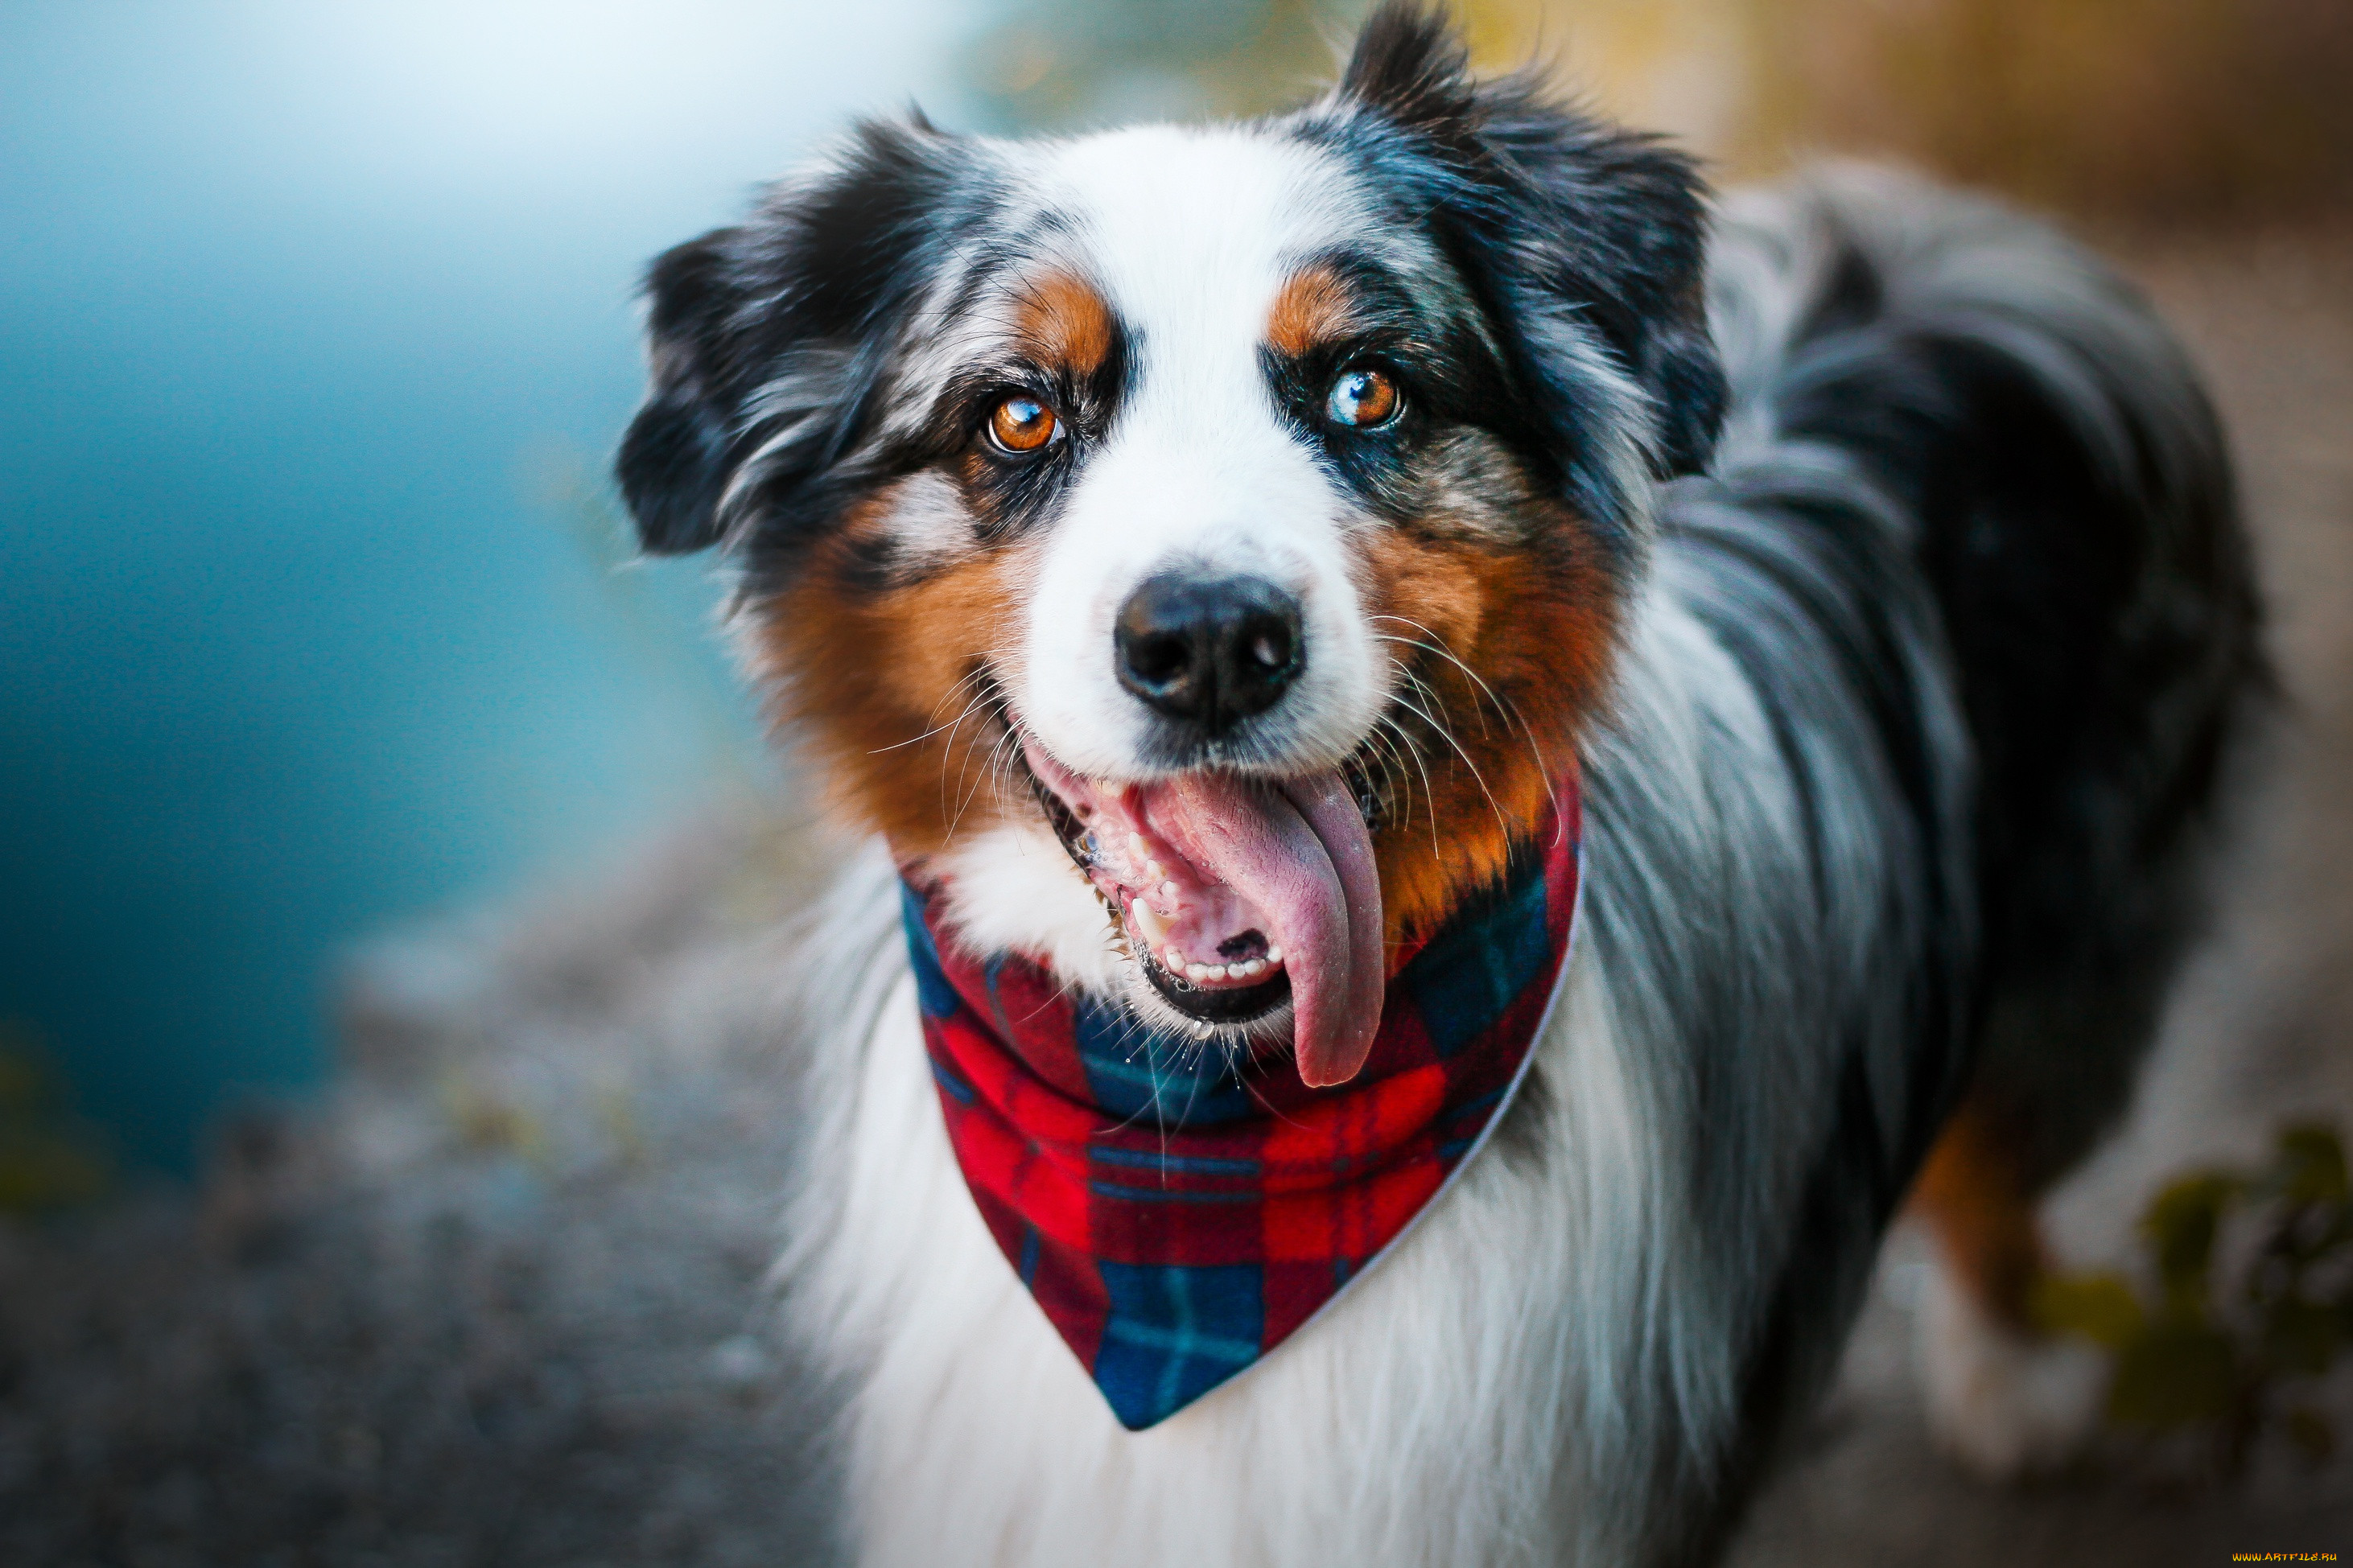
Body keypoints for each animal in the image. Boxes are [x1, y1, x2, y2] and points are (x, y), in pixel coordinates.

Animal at [616, 6, 2268, 1561]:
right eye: (1017, 412)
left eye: (1366, 390)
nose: (1209, 643)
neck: (1203, 1139)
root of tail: (1944, 216)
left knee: (2001, 1154)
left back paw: (2010, 1382)